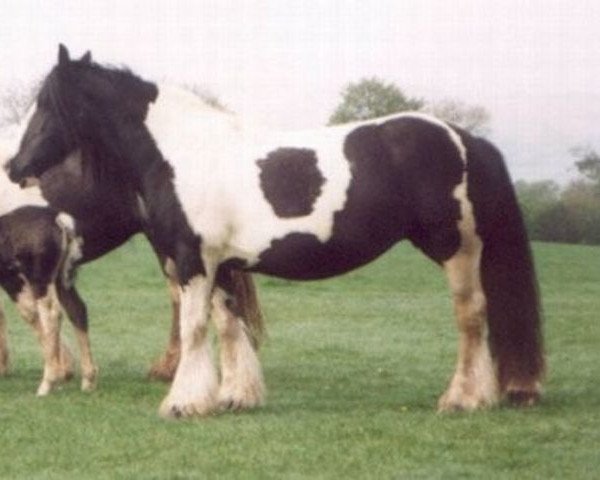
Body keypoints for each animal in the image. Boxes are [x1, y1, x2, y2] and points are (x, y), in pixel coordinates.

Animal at [7, 47, 548, 418]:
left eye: (47, 104)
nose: (16, 167)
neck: (183, 152)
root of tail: (466, 139)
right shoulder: (219, 264)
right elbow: (228, 326)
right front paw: (233, 397)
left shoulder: (192, 260)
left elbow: (195, 327)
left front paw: (182, 403)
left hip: (457, 251)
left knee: (471, 318)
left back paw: (463, 398)